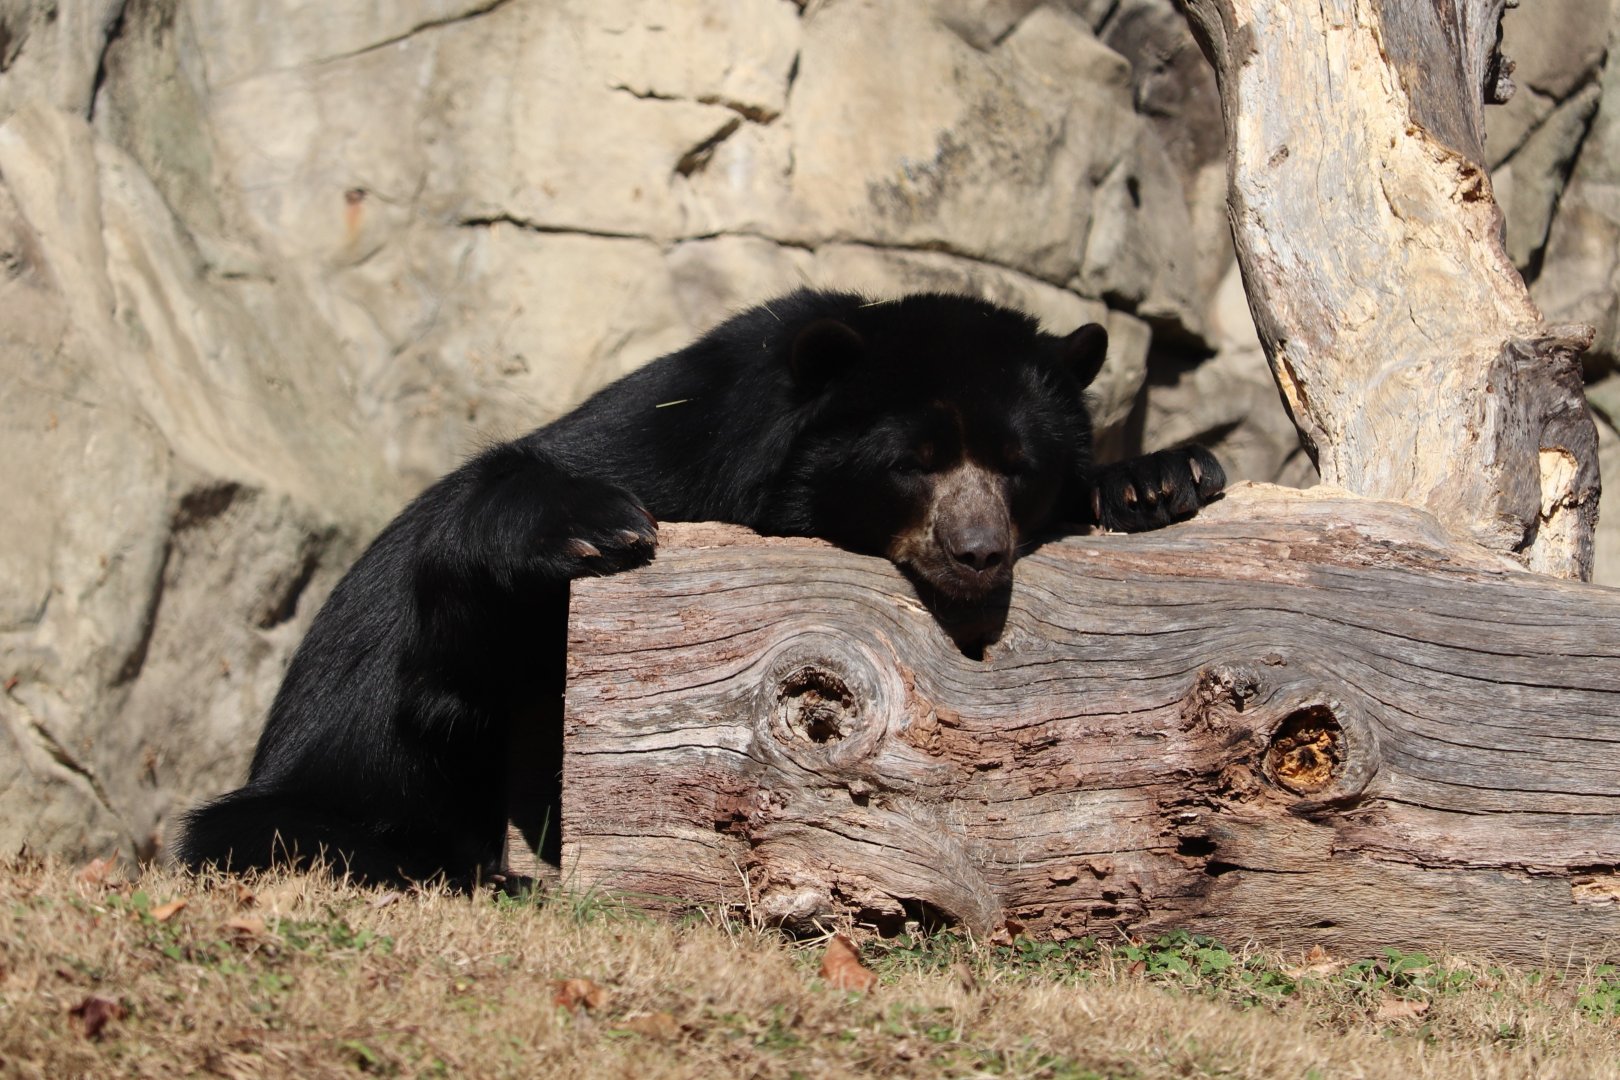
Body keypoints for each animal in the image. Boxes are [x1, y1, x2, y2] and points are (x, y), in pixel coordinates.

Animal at [174, 289, 1224, 887]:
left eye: (1018, 468)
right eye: (912, 464)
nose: (978, 553)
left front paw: (1163, 477)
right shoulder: (677, 443)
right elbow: (468, 635)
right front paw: (594, 524)